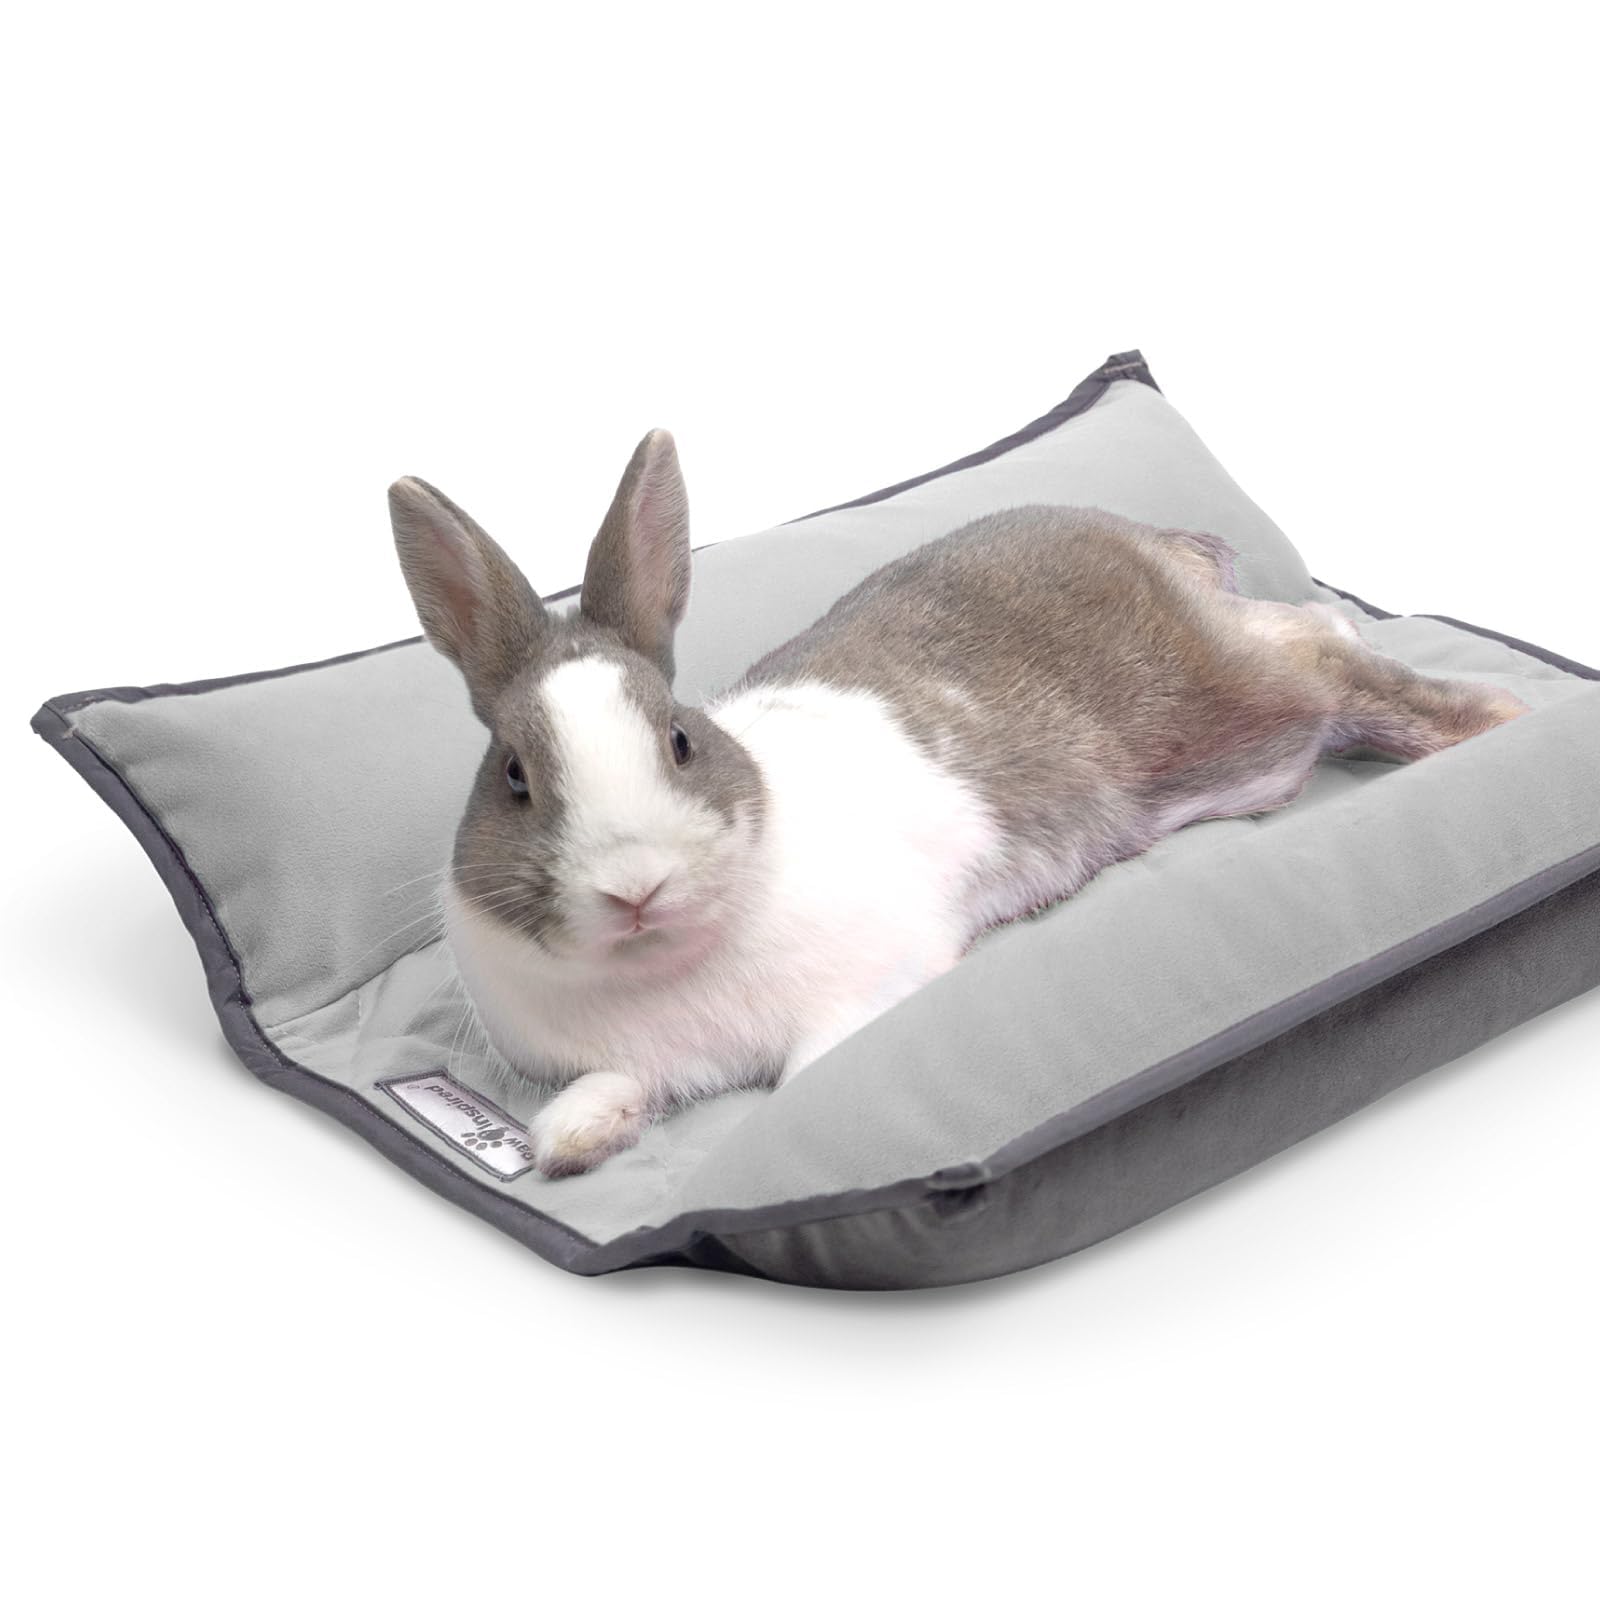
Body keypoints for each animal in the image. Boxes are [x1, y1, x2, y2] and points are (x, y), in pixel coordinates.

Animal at [389, 431, 1528, 1177]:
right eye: (514, 777)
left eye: (678, 738)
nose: (635, 885)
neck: (661, 966)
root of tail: (1148, 543)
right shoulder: (631, 1061)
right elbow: (595, 1100)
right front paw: (573, 1144)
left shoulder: (867, 991)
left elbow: (807, 1080)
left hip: (1236, 708)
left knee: (1325, 653)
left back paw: (1497, 716)